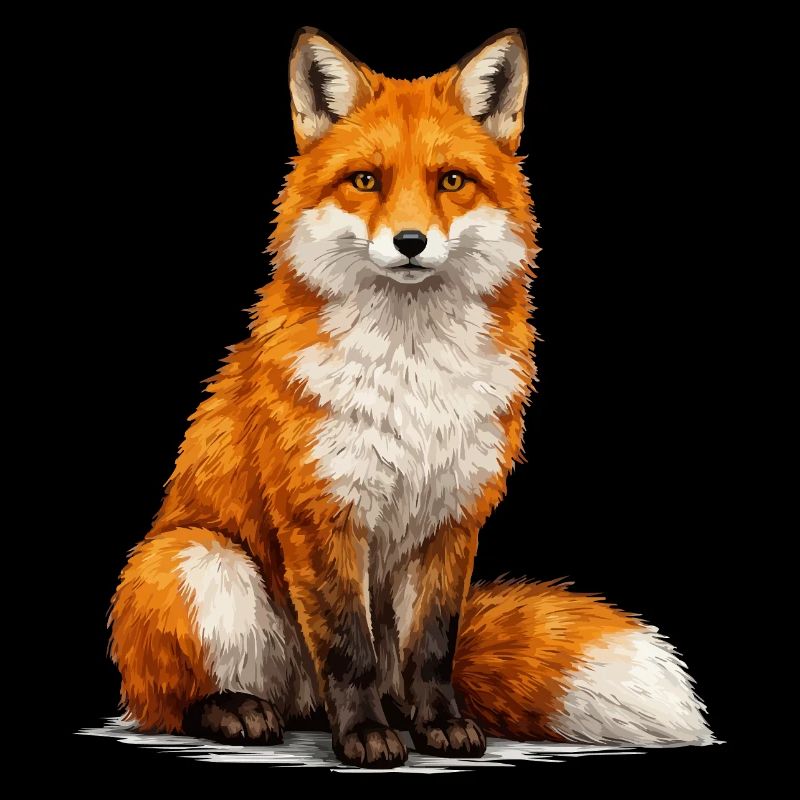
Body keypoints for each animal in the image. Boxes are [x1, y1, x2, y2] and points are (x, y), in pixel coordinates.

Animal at [108, 27, 712, 768]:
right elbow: (349, 650)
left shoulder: (452, 518)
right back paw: (239, 712)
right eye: (366, 180)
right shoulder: (322, 515)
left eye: (450, 181)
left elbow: (432, 647)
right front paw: (366, 736)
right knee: (175, 703)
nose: (410, 242)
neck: (413, 377)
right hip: (197, 561)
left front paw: (439, 726)